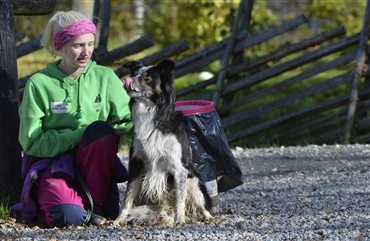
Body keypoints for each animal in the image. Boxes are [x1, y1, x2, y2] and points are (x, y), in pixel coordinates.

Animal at [117, 58, 212, 226]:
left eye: (147, 77)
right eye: (134, 74)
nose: (127, 80)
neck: (151, 114)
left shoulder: (179, 169)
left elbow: (180, 200)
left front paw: (179, 220)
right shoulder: (136, 165)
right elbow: (127, 198)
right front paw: (118, 220)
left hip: (193, 180)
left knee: (202, 205)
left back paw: (207, 217)